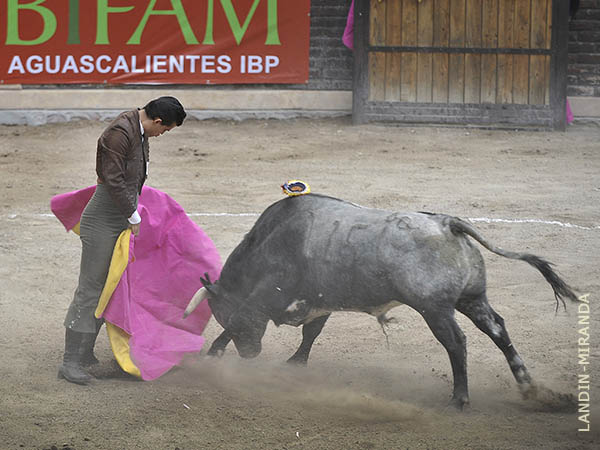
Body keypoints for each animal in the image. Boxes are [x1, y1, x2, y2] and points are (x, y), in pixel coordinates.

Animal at [185, 193, 580, 408]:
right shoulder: (320, 300)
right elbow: (312, 332)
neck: (268, 241)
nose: (250, 354)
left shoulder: (268, 294)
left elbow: (254, 319)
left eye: (220, 312)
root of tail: (447, 223)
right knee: (497, 330)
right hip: (472, 299)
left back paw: (459, 397)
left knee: (457, 342)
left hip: (435, 309)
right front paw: (295, 361)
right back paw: (527, 385)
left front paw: (216, 351)